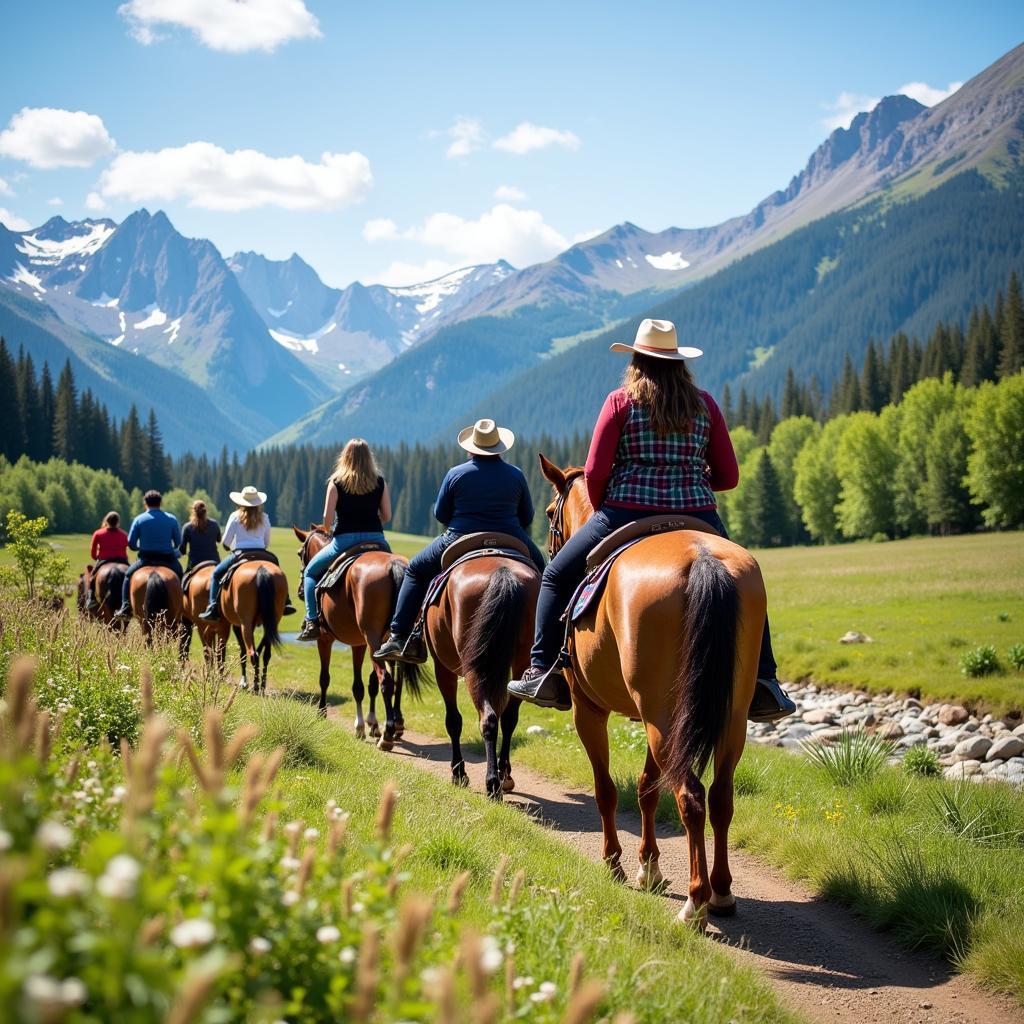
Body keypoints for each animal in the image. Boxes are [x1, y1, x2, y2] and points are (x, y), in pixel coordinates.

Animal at [217, 561, 288, 696]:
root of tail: (262, 570)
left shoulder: (237, 625)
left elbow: (243, 652)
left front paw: (243, 682)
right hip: (273, 620)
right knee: (265, 655)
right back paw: (262, 685)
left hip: (245, 624)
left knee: (252, 654)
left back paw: (254, 686)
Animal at [294, 528, 421, 745]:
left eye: (300, 553)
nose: (301, 591)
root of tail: (395, 566)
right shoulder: (361, 644)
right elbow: (364, 685)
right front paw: (369, 724)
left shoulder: (325, 640)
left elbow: (327, 678)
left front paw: (324, 713)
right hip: (388, 644)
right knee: (397, 681)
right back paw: (395, 725)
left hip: (372, 640)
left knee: (386, 681)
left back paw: (387, 734)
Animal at [423, 544, 540, 798]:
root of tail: (503, 571)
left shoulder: (441, 667)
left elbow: (453, 720)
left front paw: (458, 773)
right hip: (520, 665)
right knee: (507, 718)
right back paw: (503, 777)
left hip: (473, 669)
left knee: (488, 719)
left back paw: (491, 782)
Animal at [540, 456, 765, 929]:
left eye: (551, 513)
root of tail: (703, 560)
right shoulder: (652, 717)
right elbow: (646, 787)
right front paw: (650, 867)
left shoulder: (589, 710)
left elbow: (606, 788)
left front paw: (615, 864)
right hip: (718, 718)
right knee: (720, 797)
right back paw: (722, 893)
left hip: (662, 719)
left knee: (691, 798)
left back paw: (695, 904)